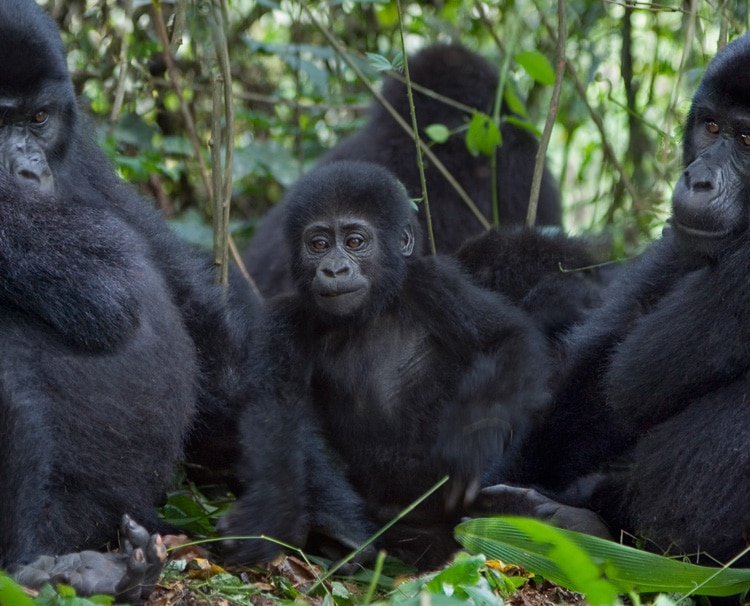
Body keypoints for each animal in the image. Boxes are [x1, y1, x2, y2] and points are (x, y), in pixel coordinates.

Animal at [223, 162, 552, 568]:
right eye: (318, 245)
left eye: (354, 242)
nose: (333, 270)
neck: (370, 313)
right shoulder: (283, 320)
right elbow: (276, 413)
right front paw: (268, 515)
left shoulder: (434, 282)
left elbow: (507, 338)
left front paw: (473, 440)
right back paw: (342, 532)